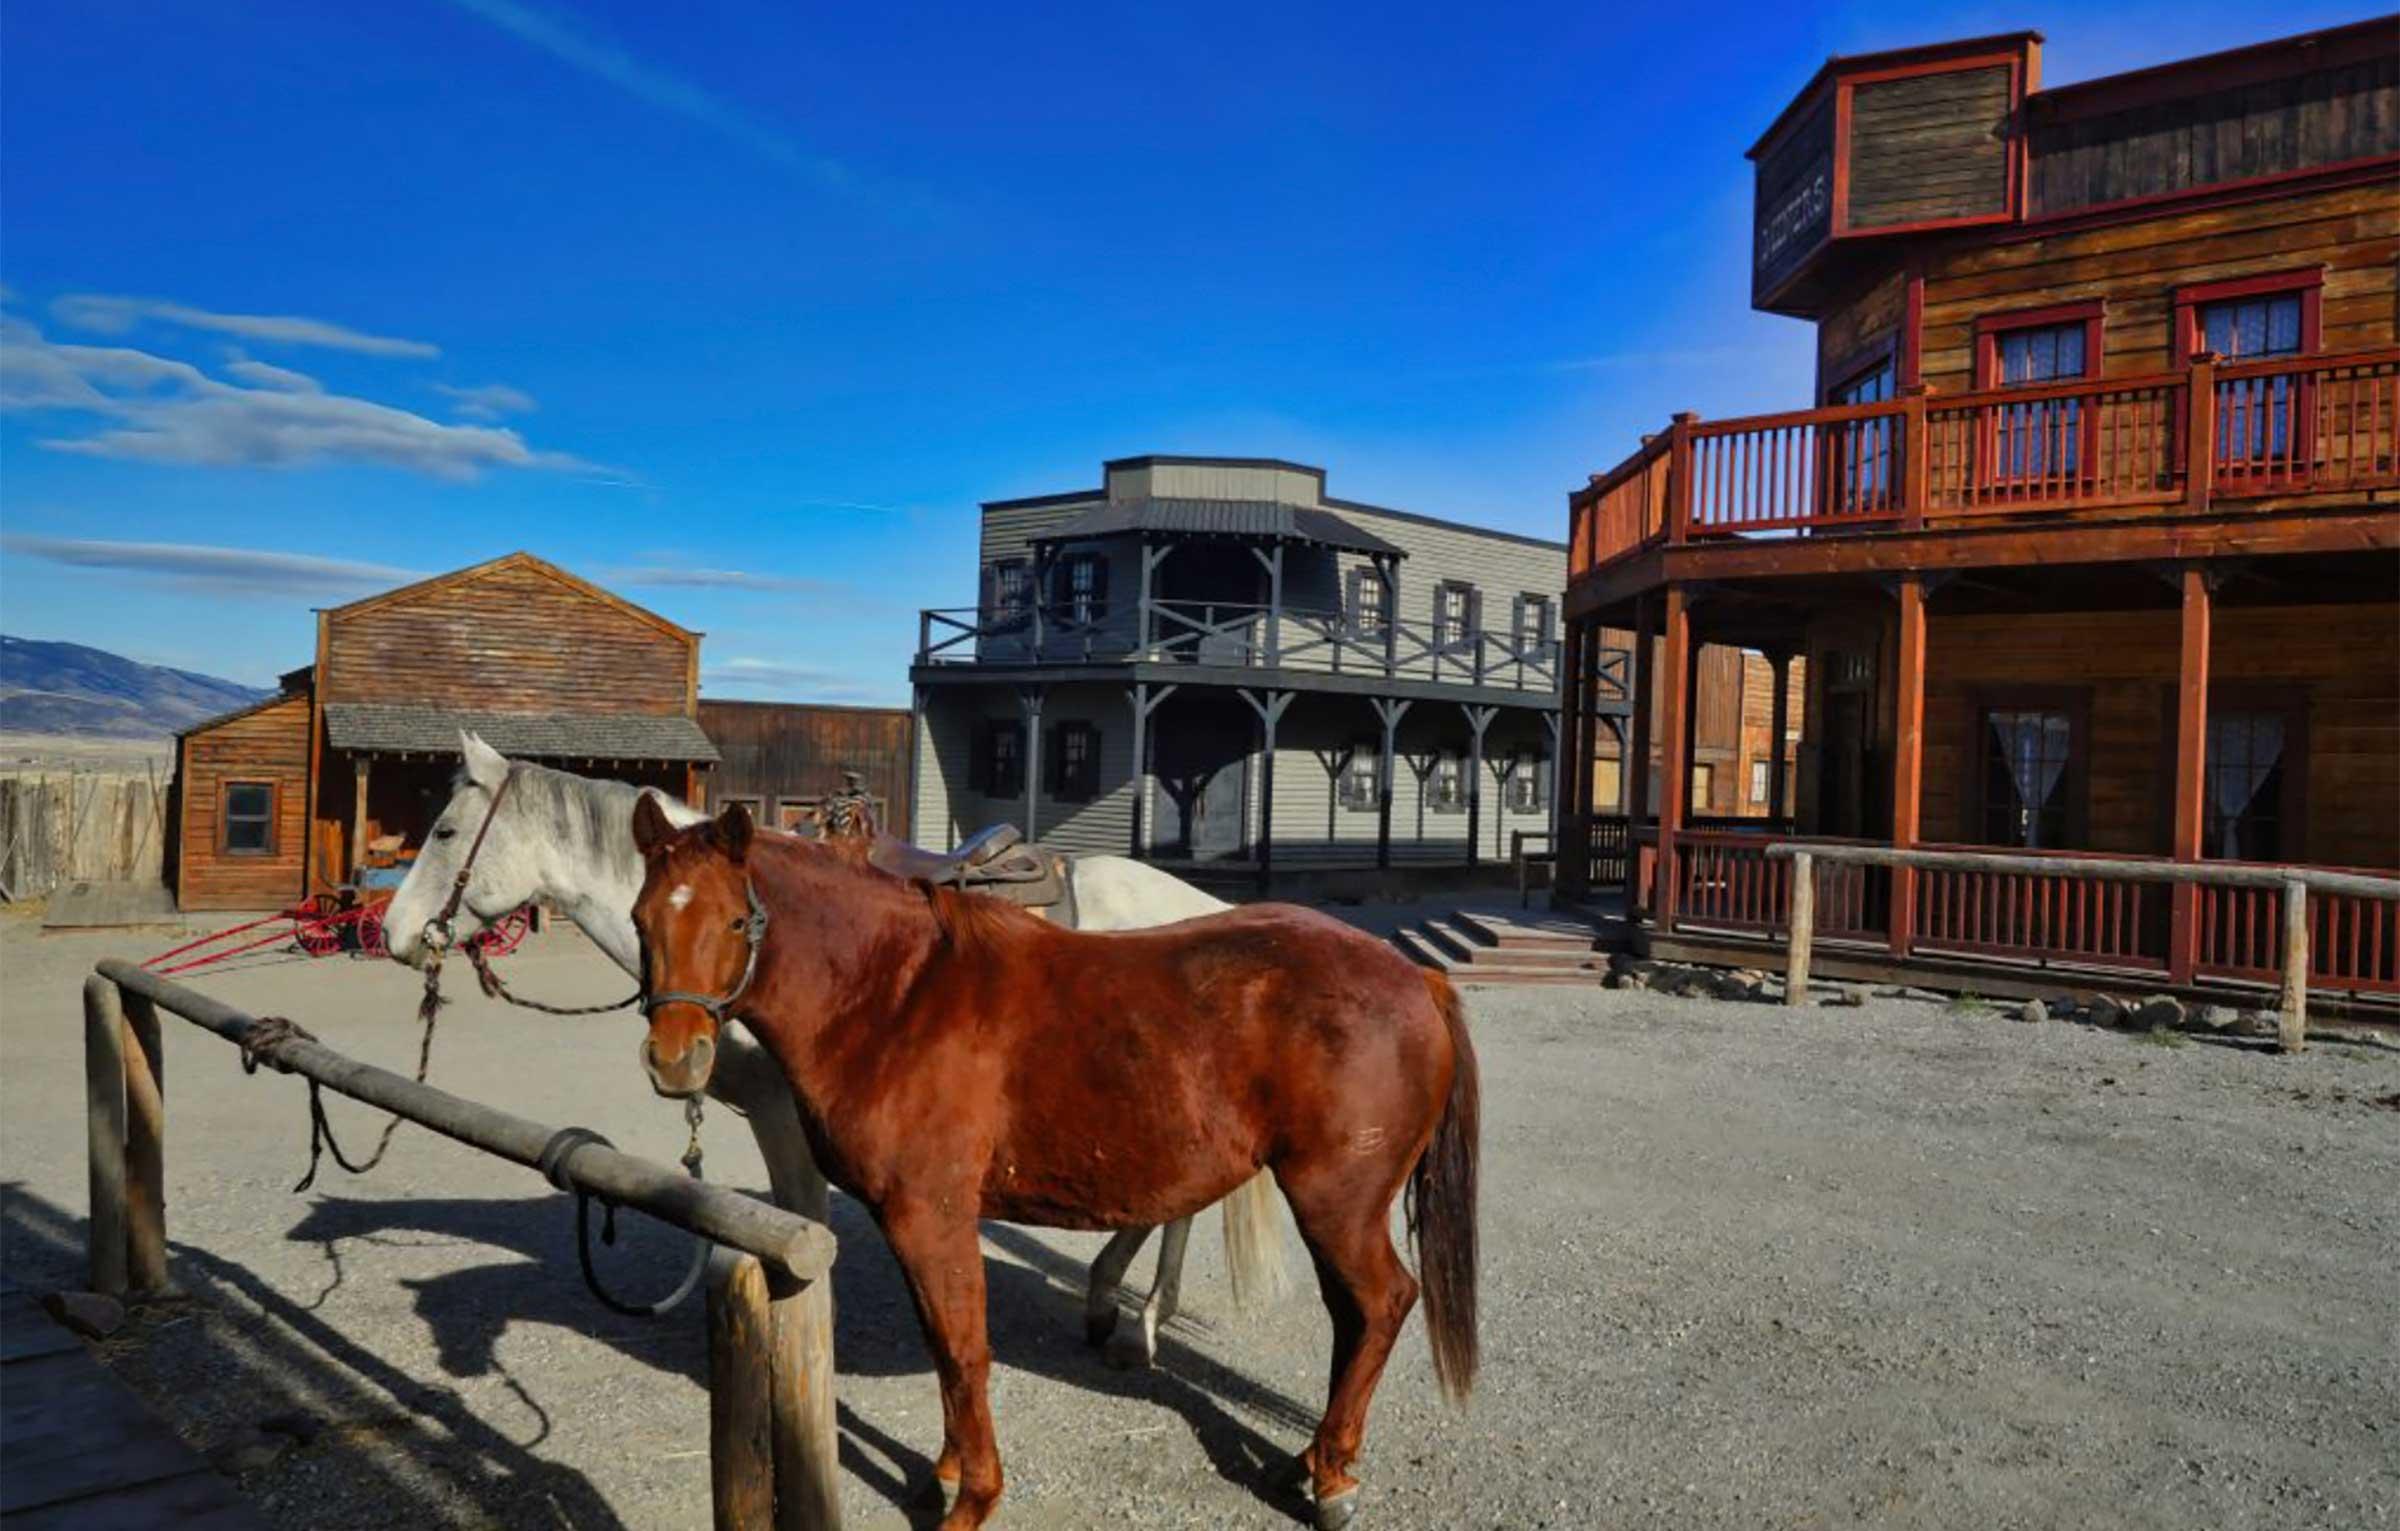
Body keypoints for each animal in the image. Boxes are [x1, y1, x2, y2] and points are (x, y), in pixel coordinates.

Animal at [379, 729, 1276, 1363]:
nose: (391, 932)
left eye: (446, 829)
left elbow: (802, 1222)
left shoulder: (784, 1112)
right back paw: (1113, 1303)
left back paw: (1139, 1318)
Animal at [628, 806, 1468, 1531]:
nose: (676, 1060)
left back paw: (1331, 1478)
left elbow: (964, 1349)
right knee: (1352, 1317)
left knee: (1382, 1304)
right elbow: (943, 1344)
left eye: (736, 920)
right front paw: (946, 1473)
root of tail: (1414, 977)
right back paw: (1309, 1460)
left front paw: (973, 1497)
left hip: (1337, 1203)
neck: (895, 994)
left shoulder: (928, 1214)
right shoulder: (915, 1221)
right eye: (642, 919)